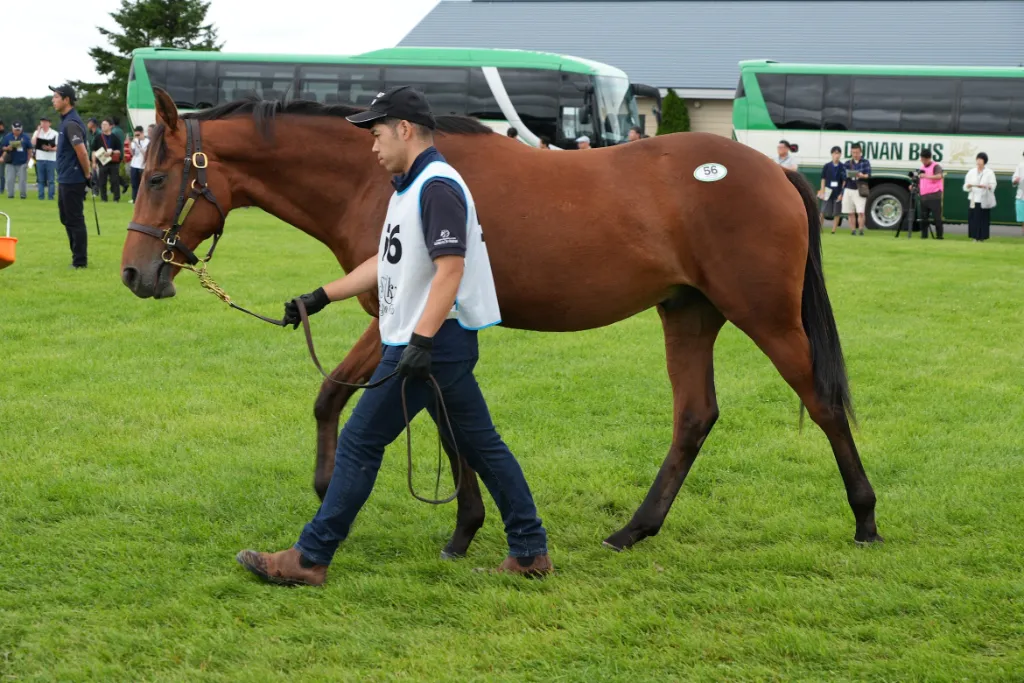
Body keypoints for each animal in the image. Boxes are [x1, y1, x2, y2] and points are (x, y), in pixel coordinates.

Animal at [121, 88, 882, 557]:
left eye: (156, 177)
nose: (134, 273)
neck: (384, 178)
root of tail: (773, 172)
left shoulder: (403, 319)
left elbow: (341, 394)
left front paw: (337, 488)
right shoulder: (426, 332)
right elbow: (430, 414)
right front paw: (461, 524)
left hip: (765, 315)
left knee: (822, 402)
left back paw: (866, 517)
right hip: (688, 313)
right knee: (695, 415)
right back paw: (634, 529)